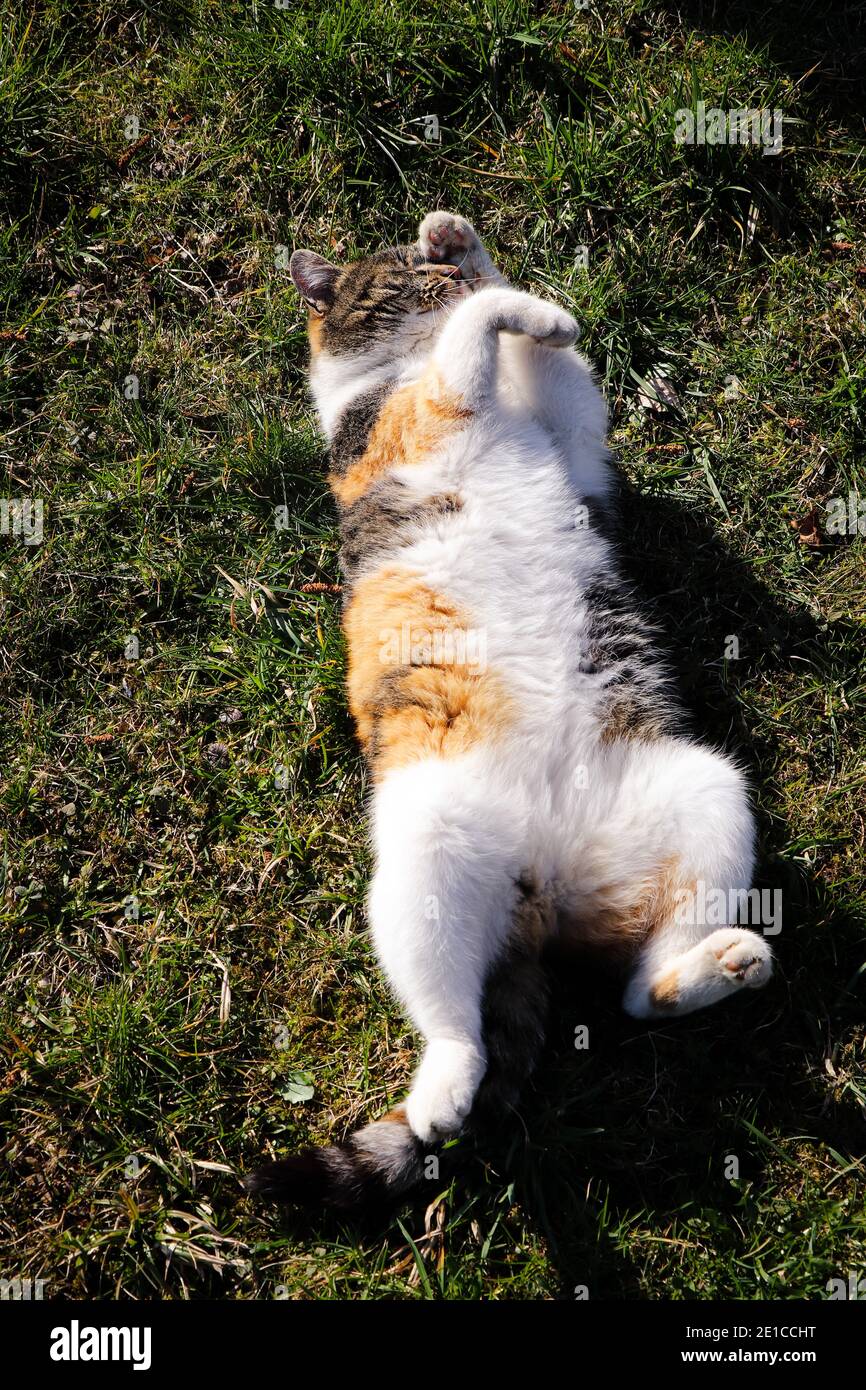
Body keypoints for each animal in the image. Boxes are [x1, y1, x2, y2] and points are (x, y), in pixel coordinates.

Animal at [246, 211, 778, 1212]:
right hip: (424, 851)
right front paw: (515, 301)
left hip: (703, 788)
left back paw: (719, 966)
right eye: (401, 274)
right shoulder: (422, 406)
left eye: (427, 262)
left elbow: (564, 384)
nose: (442, 263)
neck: (399, 368)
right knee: (455, 1020)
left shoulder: (575, 447)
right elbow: (477, 338)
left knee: (635, 993)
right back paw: (442, 1095)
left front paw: (481, 257)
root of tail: (547, 890)